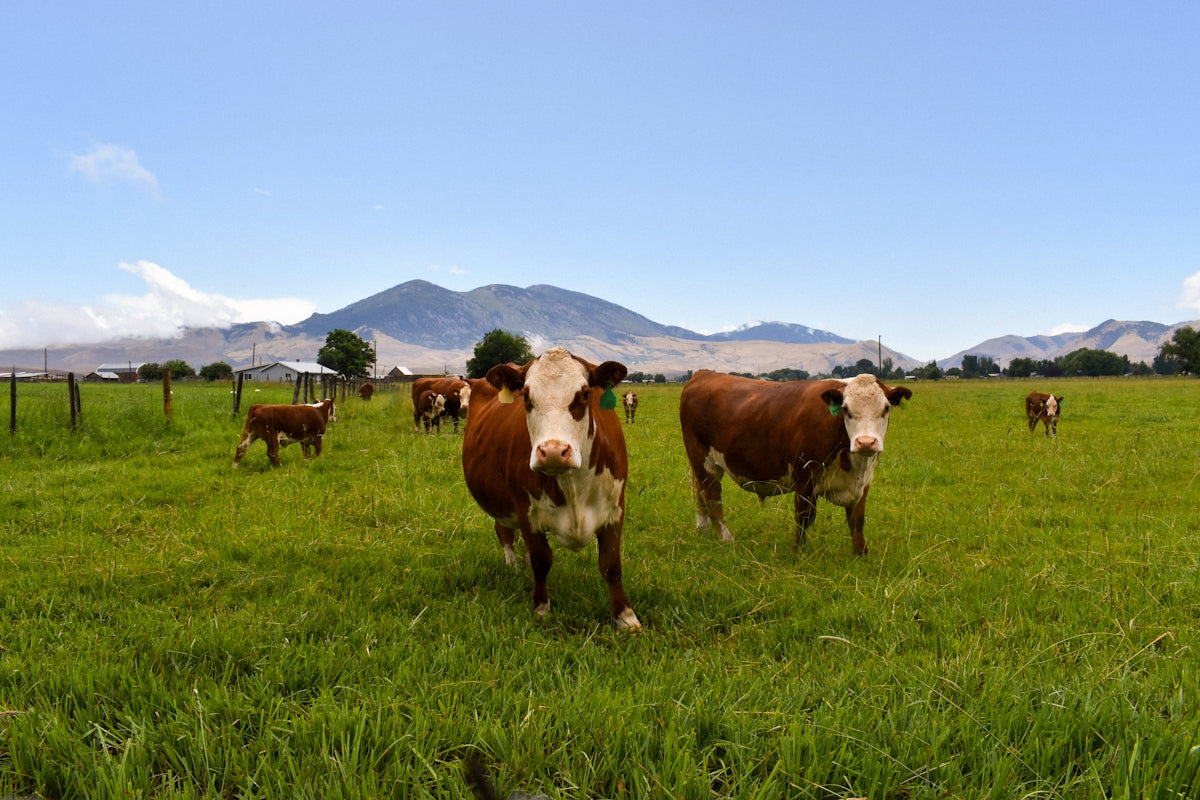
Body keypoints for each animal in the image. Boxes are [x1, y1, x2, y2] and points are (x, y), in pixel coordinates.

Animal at [461, 346, 640, 631]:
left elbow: (611, 564)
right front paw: (541, 608)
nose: (554, 452)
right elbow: (541, 559)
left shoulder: (615, 509)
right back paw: (513, 566)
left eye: (585, 394)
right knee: (504, 532)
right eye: (526, 396)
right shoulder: (525, 510)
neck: (573, 486)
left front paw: (625, 616)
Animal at [679, 371, 912, 556]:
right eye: (846, 409)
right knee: (712, 496)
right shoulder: (805, 475)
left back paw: (703, 530)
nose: (866, 442)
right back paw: (726, 539)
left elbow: (857, 520)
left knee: (701, 494)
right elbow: (804, 516)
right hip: (703, 460)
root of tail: (704, 374)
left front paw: (861, 554)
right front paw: (797, 552)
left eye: (886, 408)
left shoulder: (863, 482)